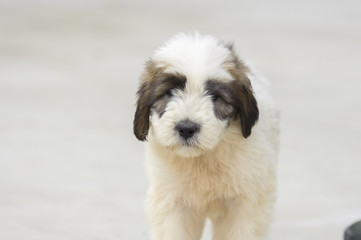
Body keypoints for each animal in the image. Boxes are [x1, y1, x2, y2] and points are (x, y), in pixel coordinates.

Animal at [132, 32, 278, 240]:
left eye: (215, 96)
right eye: (169, 92)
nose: (186, 128)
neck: (203, 158)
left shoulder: (244, 205)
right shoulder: (173, 203)